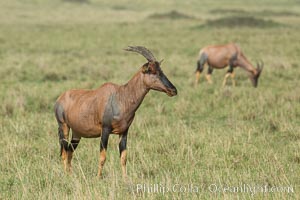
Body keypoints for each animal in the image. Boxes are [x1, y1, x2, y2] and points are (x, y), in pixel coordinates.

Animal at [54, 45, 177, 178]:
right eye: (152, 71)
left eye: (161, 70)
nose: (173, 90)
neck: (121, 96)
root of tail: (60, 98)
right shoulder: (105, 130)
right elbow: (102, 157)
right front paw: (98, 178)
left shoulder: (124, 132)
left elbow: (123, 157)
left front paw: (125, 179)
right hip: (64, 127)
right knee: (64, 152)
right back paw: (66, 176)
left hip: (77, 133)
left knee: (69, 152)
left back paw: (70, 175)